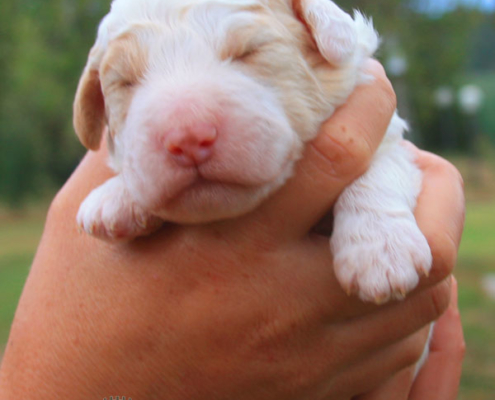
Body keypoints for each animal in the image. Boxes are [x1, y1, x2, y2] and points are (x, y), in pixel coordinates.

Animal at [73, 0, 434, 304]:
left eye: (249, 51)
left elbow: (380, 171)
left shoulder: (391, 141)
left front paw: (380, 251)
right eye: (125, 82)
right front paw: (115, 197)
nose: (188, 138)